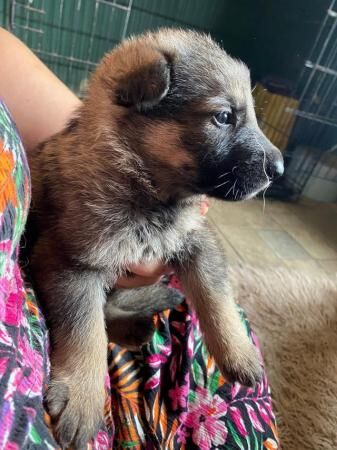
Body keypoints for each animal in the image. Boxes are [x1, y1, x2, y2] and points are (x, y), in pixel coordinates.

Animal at [26, 29, 282, 448]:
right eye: (223, 117)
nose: (279, 168)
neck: (147, 189)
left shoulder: (196, 240)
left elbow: (215, 296)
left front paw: (239, 353)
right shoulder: (71, 264)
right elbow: (85, 334)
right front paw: (83, 399)